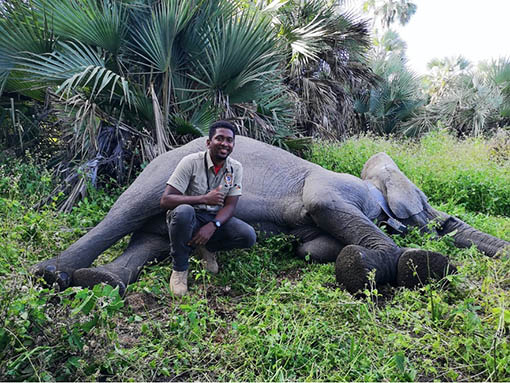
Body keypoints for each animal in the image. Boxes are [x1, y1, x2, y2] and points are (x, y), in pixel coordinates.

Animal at [32, 136, 510, 296]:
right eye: (425, 201)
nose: (439, 222)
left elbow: (311, 247)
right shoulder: (334, 188)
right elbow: (324, 204)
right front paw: (408, 266)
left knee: (149, 239)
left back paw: (101, 282)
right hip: (157, 176)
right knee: (126, 212)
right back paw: (50, 275)